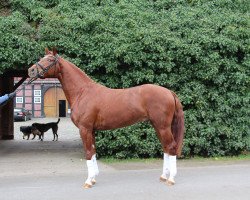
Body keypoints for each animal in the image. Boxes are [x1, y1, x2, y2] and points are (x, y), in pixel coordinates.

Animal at [27, 48, 184, 188]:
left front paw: (88, 181)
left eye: (49, 60)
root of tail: (169, 92)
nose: (31, 71)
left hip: (162, 126)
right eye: (42, 57)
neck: (82, 92)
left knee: (171, 146)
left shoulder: (84, 129)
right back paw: (163, 176)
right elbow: (93, 151)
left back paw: (171, 179)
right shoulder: (91, 130)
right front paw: (93, 178)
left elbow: (88, 153)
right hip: (158, 126)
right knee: (165, 147)